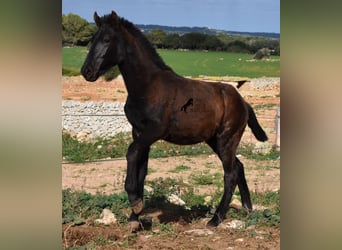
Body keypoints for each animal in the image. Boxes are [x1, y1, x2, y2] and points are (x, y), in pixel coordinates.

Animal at [81, 11, 268, 230]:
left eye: (107, 39)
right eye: (93, 39)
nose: (87, 71)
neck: (148, 87)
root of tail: (243, 102)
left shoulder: (154, 131)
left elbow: (131, 153)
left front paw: (135, 202)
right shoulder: (139, 133)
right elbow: (141, 170)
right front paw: (134, 218)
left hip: (227, 139)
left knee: (230, 174)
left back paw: (216, 219)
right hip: (215, 141)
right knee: (238, 167)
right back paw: (248, 208)